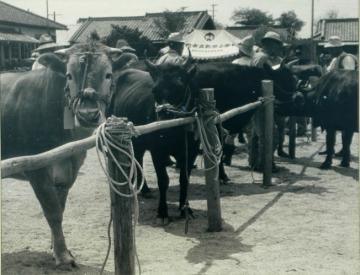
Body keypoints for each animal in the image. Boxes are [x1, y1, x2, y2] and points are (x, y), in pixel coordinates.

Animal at [1, 40, 122, 268]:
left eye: (108, 74)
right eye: (69, 75)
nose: (87, 115)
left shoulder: (70, 167)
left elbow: (61, 207)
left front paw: (54, 246)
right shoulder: (36, 166)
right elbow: (53, 211)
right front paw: (63, 255)